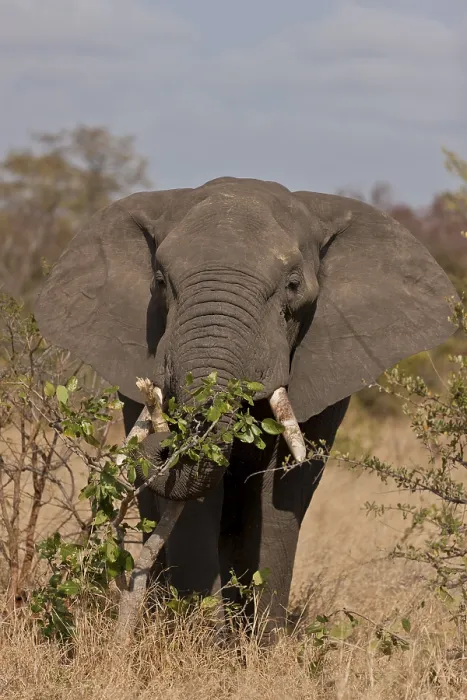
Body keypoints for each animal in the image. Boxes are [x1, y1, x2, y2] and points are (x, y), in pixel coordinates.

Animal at [35, 176, 457, 635]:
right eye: (160, 281)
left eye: (293, 285)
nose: (165, 443)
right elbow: (200, 499)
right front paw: (200, 639)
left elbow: (281, 493)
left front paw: (261, 644)